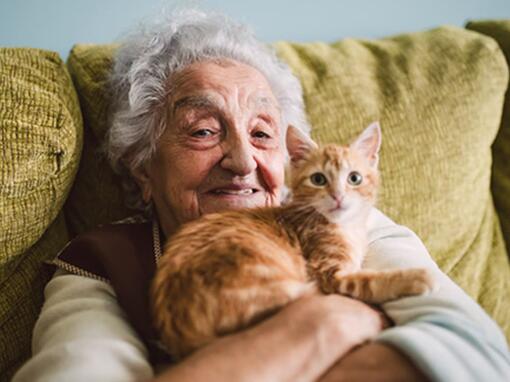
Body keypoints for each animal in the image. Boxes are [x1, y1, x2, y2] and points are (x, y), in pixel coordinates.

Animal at [149, 123, 436, 362]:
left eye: (354, 178)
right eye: (318, 179)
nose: (338, 196)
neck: (343, 227)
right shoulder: (329, 274)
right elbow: (369, 281)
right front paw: (416, 277)